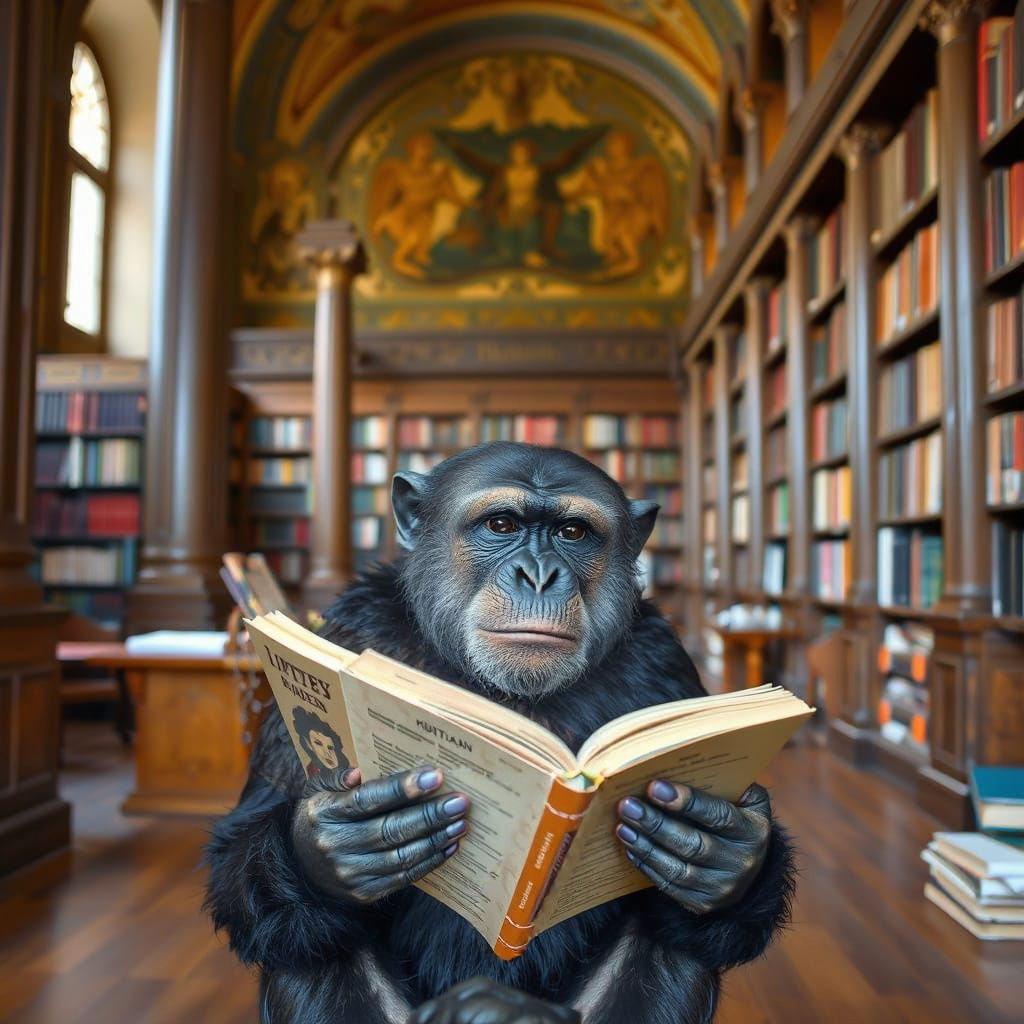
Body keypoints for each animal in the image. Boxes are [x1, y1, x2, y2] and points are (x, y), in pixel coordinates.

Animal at [205, 443, 796, 1024]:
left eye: (573, 533)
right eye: (501, 524)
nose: (538, 574)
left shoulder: (668, 663)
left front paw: (724, 849)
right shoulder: (345, 632)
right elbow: (242, 843)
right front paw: (327, 844)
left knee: (672, 946)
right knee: (310, 950)